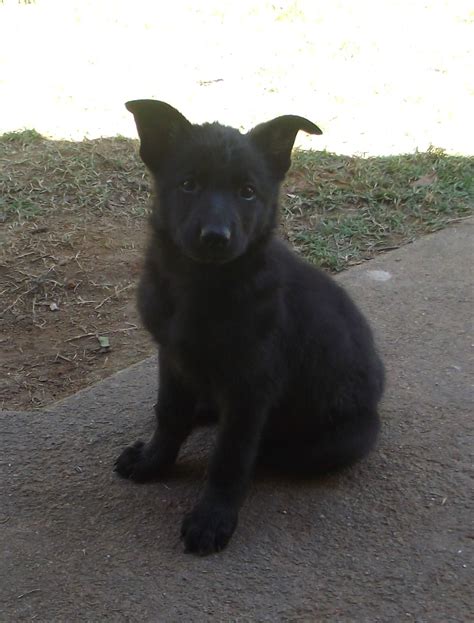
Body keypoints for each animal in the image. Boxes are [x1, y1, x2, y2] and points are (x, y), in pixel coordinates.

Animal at [115, 101, 386, 556]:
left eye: (247, 192)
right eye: (188, 184)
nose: (215, 237)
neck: (202, 285)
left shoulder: (251, 388)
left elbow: (230, 456)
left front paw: (212, 518)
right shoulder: (172, 358)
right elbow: (168, 414)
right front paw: (153, 461)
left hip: (343, 438)